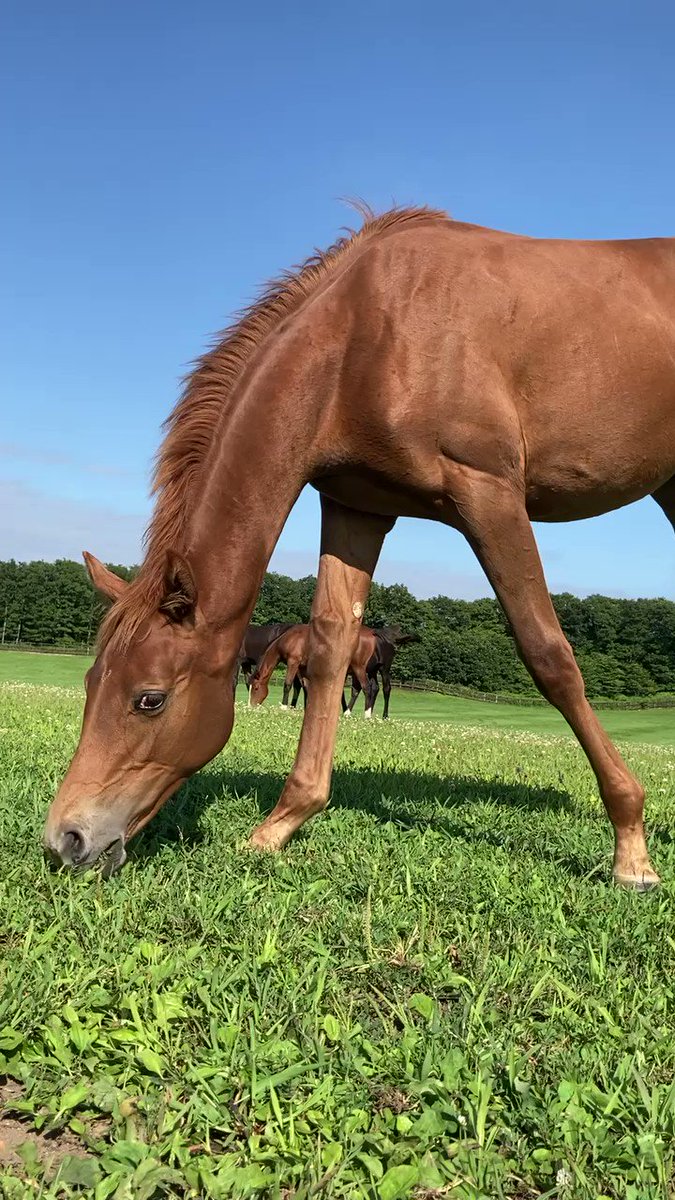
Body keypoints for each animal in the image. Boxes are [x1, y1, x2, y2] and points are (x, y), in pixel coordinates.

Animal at [43, 206, 672, 888]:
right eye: (89, 684)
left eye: (149, 700)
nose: (65, 839)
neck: (365, 335)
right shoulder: (357, 508)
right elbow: (329, 647)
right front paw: (282, 822)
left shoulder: (490, 494)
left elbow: (548, 656)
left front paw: (631, 844)